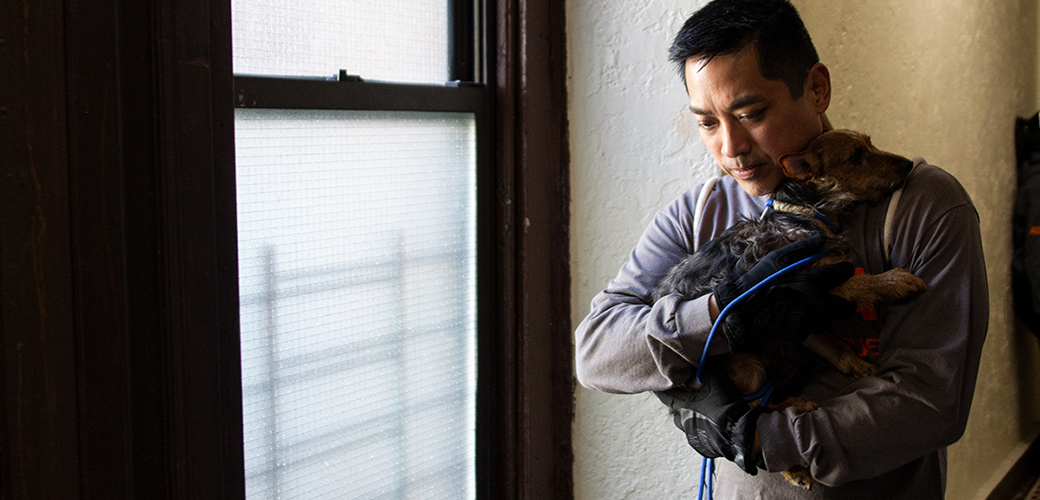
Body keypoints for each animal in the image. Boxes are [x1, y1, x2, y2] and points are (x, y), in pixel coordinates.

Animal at [657, 128, 927, 486]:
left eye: (870, 143)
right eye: (857, 156)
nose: (909, 163)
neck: (804, 211)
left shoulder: (804, 312)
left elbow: (835, 346)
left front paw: (861, 366)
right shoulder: (816, 280)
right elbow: (863, 282)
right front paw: (895, 281)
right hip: (747, 369)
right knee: (746, 422)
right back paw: (793, 460)